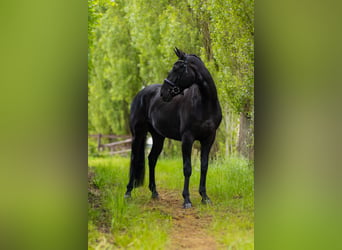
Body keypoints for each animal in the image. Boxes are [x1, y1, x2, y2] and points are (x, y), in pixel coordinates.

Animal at [124, 47, 223, 208]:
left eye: (178, 68)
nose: (163, 93)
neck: (204, 103)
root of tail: (141, 93)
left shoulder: (208, 139)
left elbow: (204, 166)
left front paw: (205, 197)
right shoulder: (187, 138)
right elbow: (187, 168)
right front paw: (187, 199)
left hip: (158, 137)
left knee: (152, 159)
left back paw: (154, 192)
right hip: (137, 134)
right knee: (134, 159)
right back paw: (128, 193)